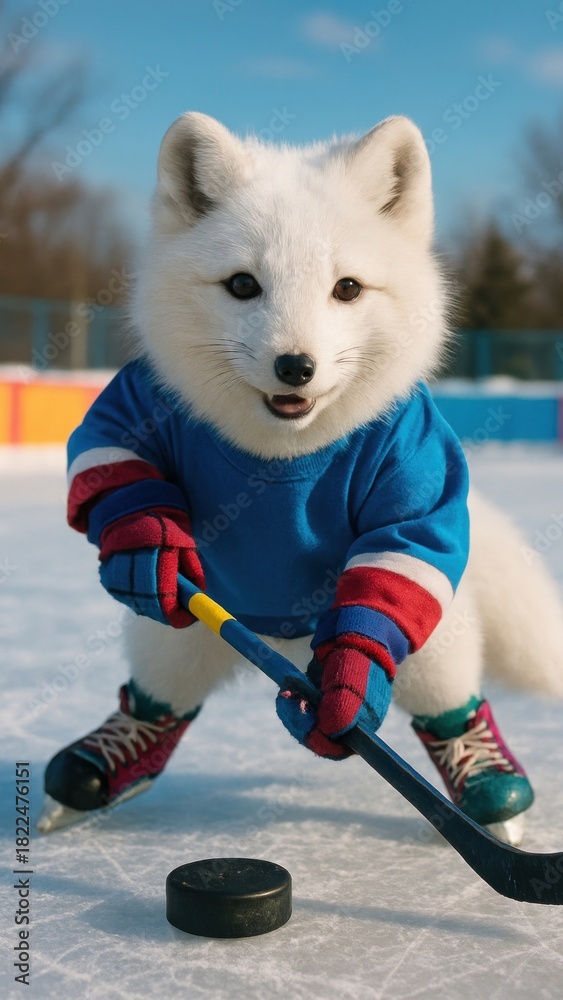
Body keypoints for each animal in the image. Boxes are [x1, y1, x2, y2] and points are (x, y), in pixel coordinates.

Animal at [38, 112, 563, 845]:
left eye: (347, 288)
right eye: (241, 285)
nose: (295, 366)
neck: (285, 452)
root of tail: (275, 640)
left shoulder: (414, 458)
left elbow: (398, 550)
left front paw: (344, 694)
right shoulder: (134, 402)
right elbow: (104, 453)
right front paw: (145, 538)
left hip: (433, 643)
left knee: (450, 701)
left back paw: (489, 790)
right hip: (177, 635)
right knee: (159, 698)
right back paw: (103, 762)